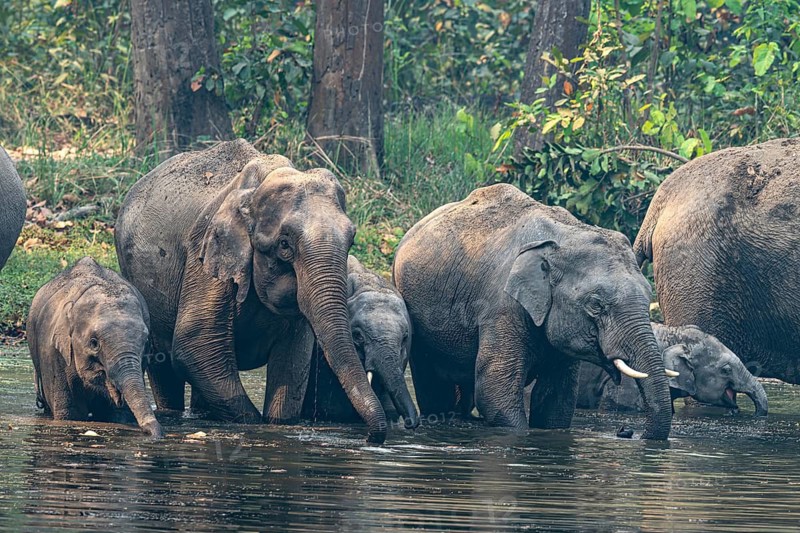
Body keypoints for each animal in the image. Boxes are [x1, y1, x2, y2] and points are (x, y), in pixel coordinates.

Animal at [27, 257, 163, 438]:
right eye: (94, 343)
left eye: (146, 342)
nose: (156, 433)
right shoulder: (53, 354)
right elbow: (71, 413)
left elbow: (119, 415)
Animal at [115, 139, 386, 443]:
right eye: (284, 245)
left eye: (351, 240)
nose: (369, 437)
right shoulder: (207, 253)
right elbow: (195, 344)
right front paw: (254, 427)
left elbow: (293, 360)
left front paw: (278, 424)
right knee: (165, 367)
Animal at [392, 183, 674, 439]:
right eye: (596, 305)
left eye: (648, 297)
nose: (628, 432)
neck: (566, 237)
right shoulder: (501, 306)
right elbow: (496, 392)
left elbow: (557, 400)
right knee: (434, 388)